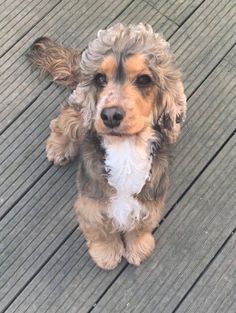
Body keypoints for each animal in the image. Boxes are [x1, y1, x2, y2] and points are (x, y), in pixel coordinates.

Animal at [28, 23, 186, 268]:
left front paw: (139, 248)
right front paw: (107, 255)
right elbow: (101, 231)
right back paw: (58, 148)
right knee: (62, 119)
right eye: (100, 78)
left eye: (144, 80)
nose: (110, 115)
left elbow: (141, 225)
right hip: (79, 115)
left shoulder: (150, 201)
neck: (126, 147)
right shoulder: (90, 205)